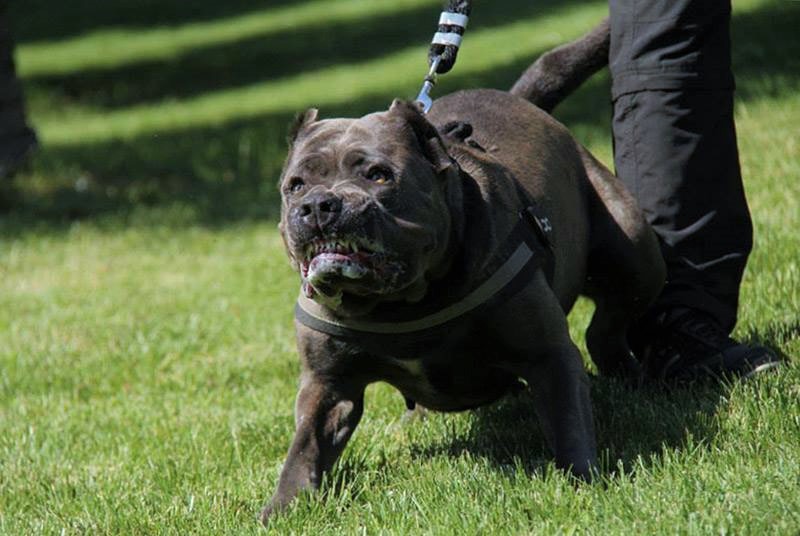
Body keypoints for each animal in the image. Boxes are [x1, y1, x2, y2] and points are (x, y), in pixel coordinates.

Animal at [261, 18, 663, 523]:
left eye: (378, 175)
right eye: (295, 185)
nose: (319, 205)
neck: (400, 304)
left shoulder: (547, 354)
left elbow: (568, 421)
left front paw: (582, 482)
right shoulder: (328, 385)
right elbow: (304, 448)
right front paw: (283, 508)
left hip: (634, 247)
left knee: (609, 322)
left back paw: (626, 371)